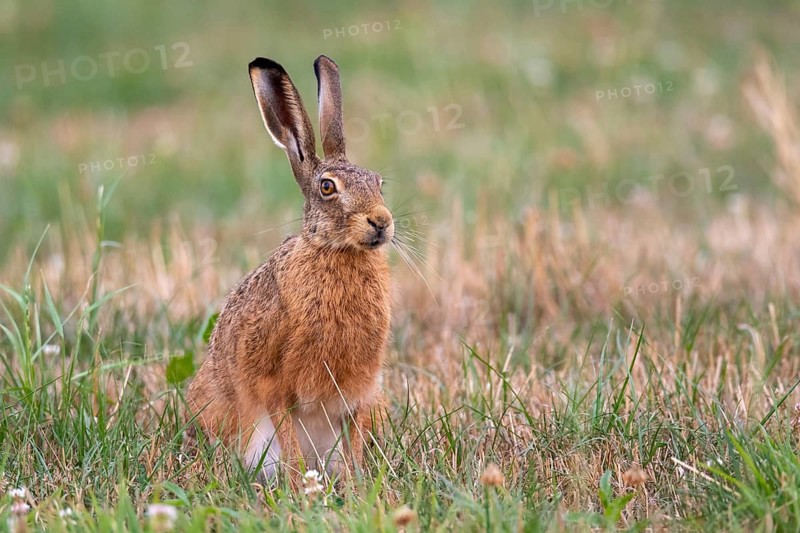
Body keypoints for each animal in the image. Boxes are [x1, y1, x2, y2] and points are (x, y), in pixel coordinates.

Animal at [186, 55, 392, 484]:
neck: (334, 251)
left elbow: (355, 442)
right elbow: (290, 440)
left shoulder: (362, 392)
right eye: (327, 188)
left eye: (380, 183)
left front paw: (358, 484)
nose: (382, 221)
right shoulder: (274, 386)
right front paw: (299, 486)